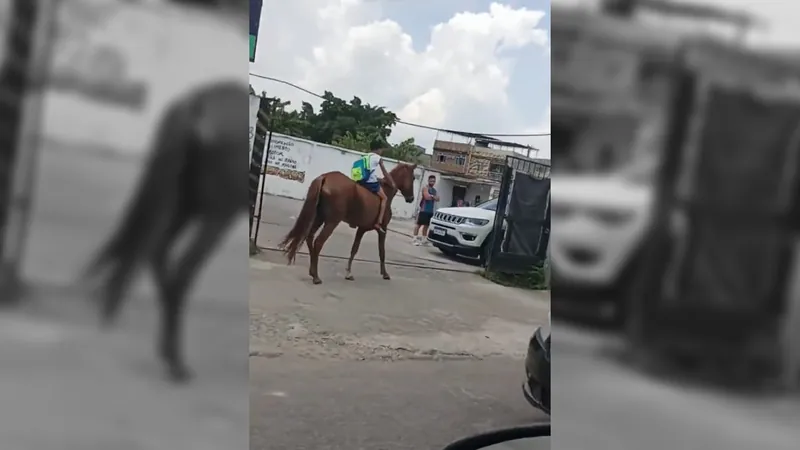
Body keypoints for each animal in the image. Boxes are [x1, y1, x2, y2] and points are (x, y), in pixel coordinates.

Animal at [84, 81, 247, 384]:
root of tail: (197, 103)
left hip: (185, 202)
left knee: (156, 250)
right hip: (215, 211)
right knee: (181, 269)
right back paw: (176, 362)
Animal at [280, 163, 418, 284]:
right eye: (413, 177)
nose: (411, 198)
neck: (386, 192)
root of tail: (325, 177)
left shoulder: (361, 229)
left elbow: (354, 249)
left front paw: (348, 273)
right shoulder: (383, 229)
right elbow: (381, 251)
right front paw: (385, 274)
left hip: (319, 218)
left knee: (310, 237)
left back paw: (312, 271)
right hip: (332, 221)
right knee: (318, 242)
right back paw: (316, 277)